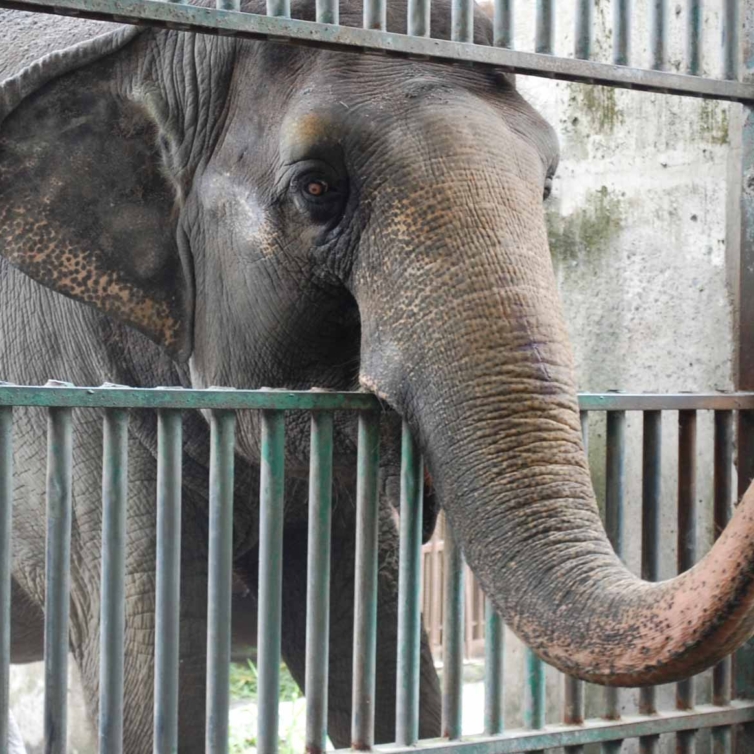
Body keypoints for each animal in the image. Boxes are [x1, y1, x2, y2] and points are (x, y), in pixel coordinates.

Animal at [2, 0, 752, 748]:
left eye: (544, 184)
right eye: (317, 187)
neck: (156, 49)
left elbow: (375, 637)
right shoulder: (78, 388)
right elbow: (156, 667)